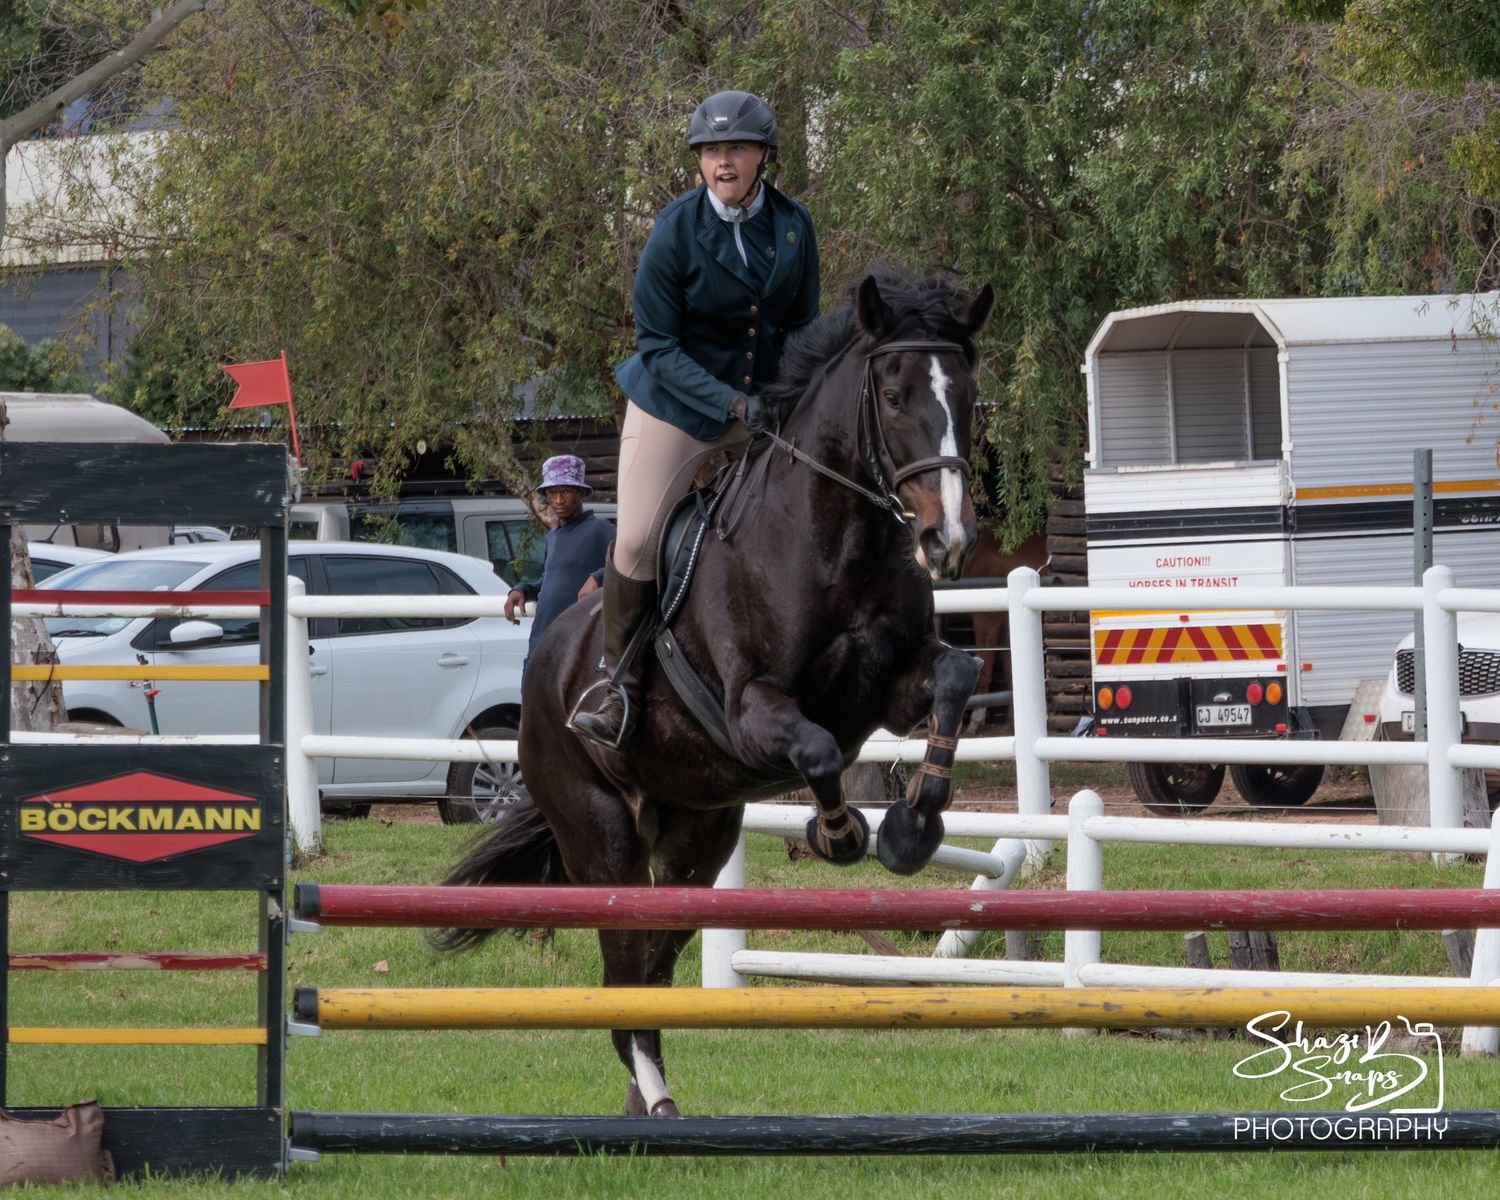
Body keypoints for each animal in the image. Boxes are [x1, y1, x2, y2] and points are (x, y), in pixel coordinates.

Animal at [433, 271, 994, 1117]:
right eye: (894, 396)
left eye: (966, 393)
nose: (946, 541)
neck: (837, 542)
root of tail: (544, 666)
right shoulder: (751, 709)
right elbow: (816, 747)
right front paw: (840, 834)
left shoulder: (894, 692)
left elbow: (956, 679)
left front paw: (911, 829)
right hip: (602, 832)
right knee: (624, 972)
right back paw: (655, 1095)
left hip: (698, 836)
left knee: (654, 964)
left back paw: (646, 1103)